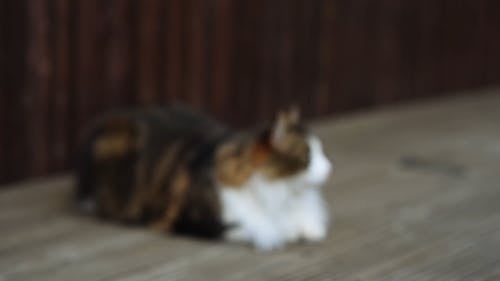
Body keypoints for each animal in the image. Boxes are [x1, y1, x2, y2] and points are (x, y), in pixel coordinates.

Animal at [75, 104, 332, 249]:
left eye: (321, 150)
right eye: (308, 155)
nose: (329, 167)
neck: (285, 195)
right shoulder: (194, 221)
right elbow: (251, 228)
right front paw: (284, 232)